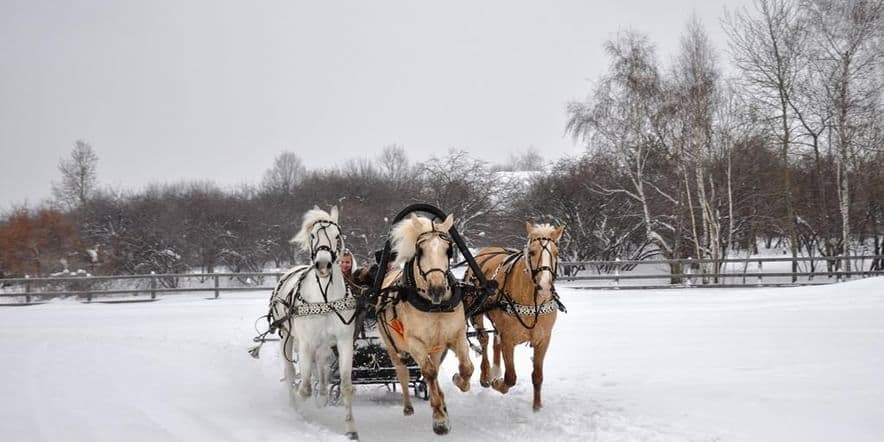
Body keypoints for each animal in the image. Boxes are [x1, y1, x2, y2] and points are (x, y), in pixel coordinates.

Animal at [266, 206, 360, 438]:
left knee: (322, 366)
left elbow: (345, 385)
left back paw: (323, 395)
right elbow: (305, 387)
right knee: (291, 373)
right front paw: (299, 405)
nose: (323, 265)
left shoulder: (344, 341)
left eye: (337, 236)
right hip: (287, 337)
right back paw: (295, 402)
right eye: (312, 236)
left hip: (324, 344)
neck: (324, 297)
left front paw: (350, 428)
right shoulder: (306, 343)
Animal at [374, 214, 476, 436]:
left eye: (449, 250)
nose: (437, 289)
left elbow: (466, 367)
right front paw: (439, 419)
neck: (434, 307)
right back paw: (408, 406)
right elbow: (428, 373)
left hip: (436, 347)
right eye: (420, 251)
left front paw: (459, 381)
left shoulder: (456, 335)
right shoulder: (415, 343)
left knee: (434, 368)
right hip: (394, 348)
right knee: (404, 373)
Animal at [466, 223, 564, 412]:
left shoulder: (543, 340)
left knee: (494, 342)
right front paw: (498, 383)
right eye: (532, 252)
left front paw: (537, 406)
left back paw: (494, 370)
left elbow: (537, 375)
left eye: (556, 252)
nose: (544, 287)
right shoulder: (508, 339)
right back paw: (486, 375)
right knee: (484, 339)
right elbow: (510, 377)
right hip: (477, 312)